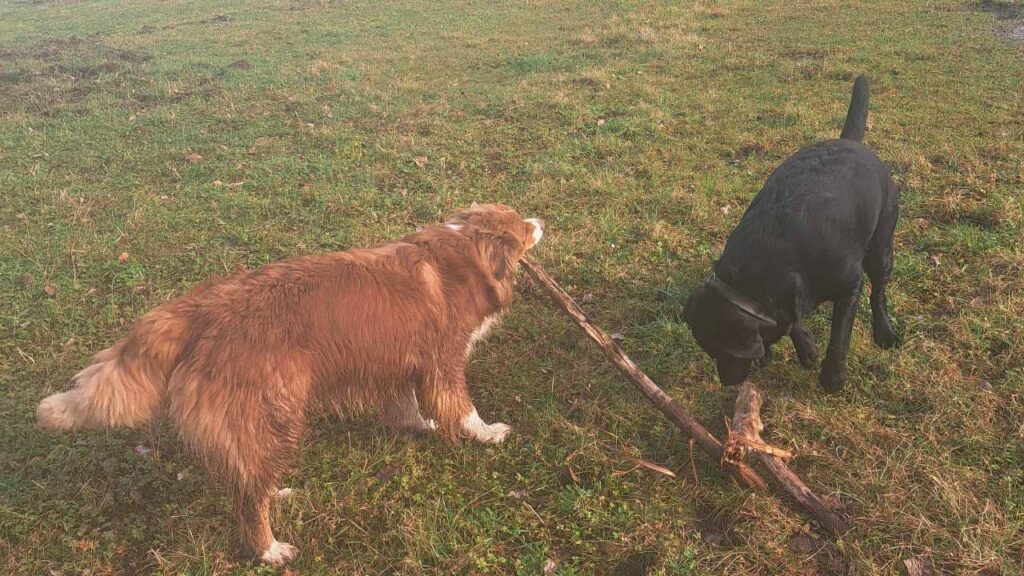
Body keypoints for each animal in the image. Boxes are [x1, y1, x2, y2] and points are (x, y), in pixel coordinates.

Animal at [36, 202, 544, 565]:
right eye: (522, 227)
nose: (541, 220)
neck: (464, 251)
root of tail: (198, 310)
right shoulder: (444, 362)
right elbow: (462, 407)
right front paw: (487, 434)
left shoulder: (394, 361)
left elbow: (406, 405)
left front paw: (420, 425)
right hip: (273, 415)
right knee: (248, 498)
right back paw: (269, 549)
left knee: (249, 479)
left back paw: (276, 494)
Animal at [688, 76, 897, 389]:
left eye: (726, 353)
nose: (727, 382)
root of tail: (850, 142)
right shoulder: (789, 297)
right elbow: (791, 320)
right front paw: (806, 346)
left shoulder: (850, 286)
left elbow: (840, 336)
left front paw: (832, 378)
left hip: (881, 244)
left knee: (879, 290)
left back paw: (884, 331)